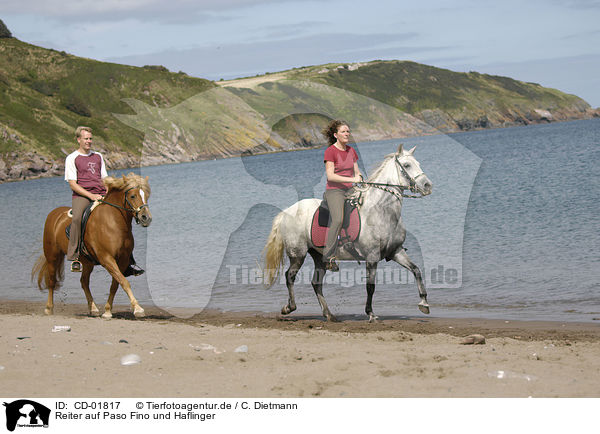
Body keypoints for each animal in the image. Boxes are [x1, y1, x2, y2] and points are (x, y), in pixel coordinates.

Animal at [32, 173, 152, 318]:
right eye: (133, 196)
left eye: (146, 194)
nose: (146, 218)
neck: (114, 223)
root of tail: (54, 213)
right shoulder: (106, 258)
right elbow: (124, 282)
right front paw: (138, 308)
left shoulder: (122, 260)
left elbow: (116, 284)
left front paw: (107, 310)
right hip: (52, 256)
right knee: (51, 281)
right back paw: (49, 308)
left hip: (87, 262)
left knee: (84, 282)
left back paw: (93, 308)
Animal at [264, 144, 434, 320]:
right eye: (407, 165)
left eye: (418, 163)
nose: (427, 186)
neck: (381, 212)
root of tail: (285, 212)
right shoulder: (372, 257)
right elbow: (370, 286)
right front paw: (371, 313)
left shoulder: (395, 251)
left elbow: (416, 270)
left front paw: (424, 303)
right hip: (298, 254)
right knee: (289, 276)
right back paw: (289, 308)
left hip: (319, 256)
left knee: (316, 282)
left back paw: (329, 314)